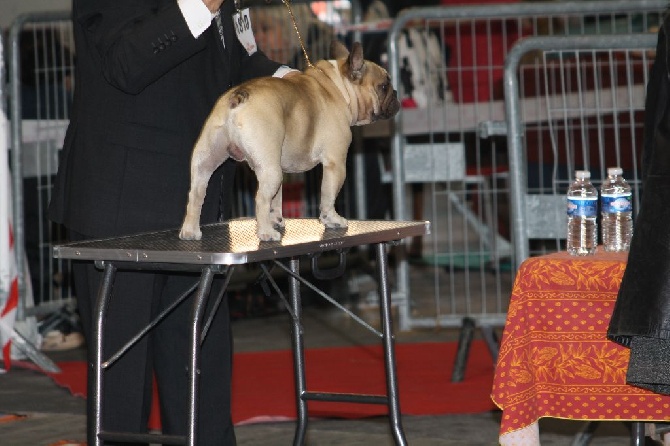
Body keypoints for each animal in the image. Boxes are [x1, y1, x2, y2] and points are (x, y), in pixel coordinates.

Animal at [180, 41, 400, 242]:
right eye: (383, 86)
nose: (397, 94)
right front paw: (332, 220)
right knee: (261, 199)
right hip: (271, 169)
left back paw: (190, 232)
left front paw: (276, 219)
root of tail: (239, 95)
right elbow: (328, 196)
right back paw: (266, 233)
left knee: (196, 194)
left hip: (208, 160)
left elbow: (277, 199)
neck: (339, 87)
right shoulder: (335, 163)